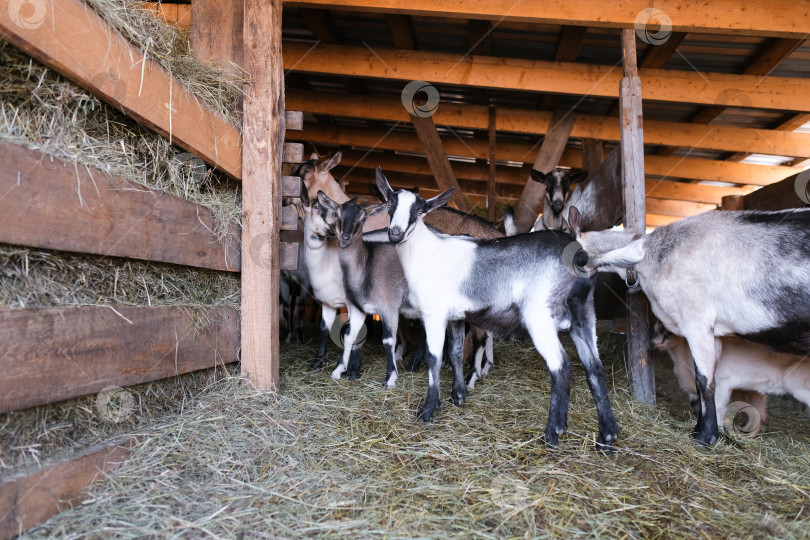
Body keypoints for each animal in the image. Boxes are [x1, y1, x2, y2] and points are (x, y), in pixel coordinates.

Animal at [580, 209, 808, 446]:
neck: (657, 254)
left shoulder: (696, 321)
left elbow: (704, 379)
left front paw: (705, 437)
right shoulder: (714, 330)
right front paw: (700, 429)